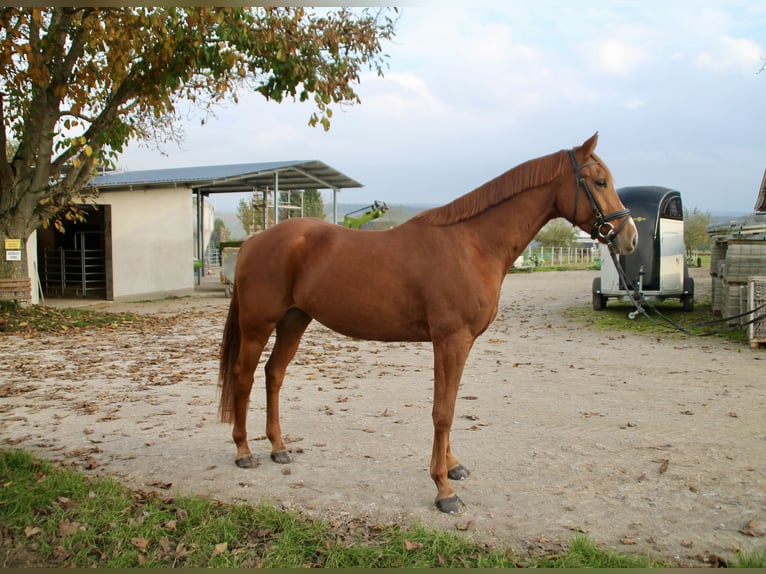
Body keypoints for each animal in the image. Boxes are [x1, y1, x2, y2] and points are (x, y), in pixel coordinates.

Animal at [219, 134, 640, 512]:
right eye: (600, 182)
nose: (630, 238)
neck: (472, 244)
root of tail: (253, 242)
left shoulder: (459, 343)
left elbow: (449, 405)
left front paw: (453, 468)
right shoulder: (450, 340)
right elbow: (443, 411)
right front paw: (443, 490)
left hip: (294, 320)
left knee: (274, 374)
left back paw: (278, 448)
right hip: (259, 325)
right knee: (244, 376)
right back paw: (244, 451)